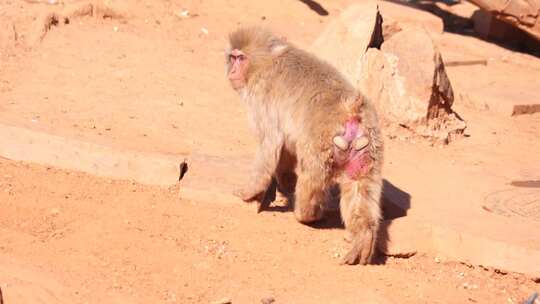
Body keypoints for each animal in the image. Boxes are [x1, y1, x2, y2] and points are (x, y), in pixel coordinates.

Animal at [224, 27, 384, 264]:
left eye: (240, 58)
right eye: (232, 57)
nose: (232, 70)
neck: (266, 61)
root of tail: (351, 109)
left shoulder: (260, 95)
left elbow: (270, 143)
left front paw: (248, 192)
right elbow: (284, 148)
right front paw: (285, 181)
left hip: (320, 143)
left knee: (311, 176)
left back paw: (307, 214)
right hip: (369, 148)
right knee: (360, 186)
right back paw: (364, 238)